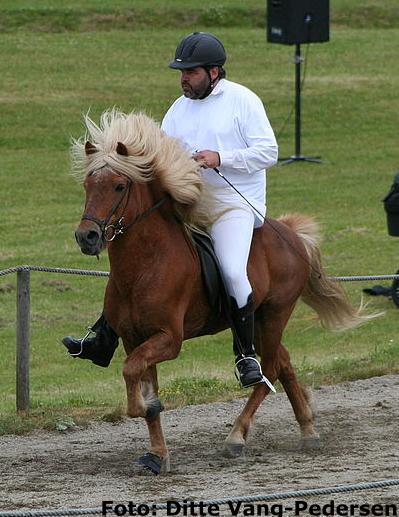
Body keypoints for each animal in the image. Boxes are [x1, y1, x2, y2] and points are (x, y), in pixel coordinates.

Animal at [71, 109, 376, 476]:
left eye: (119, 186)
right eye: (88, 185)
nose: (86, 237)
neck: (146, 266)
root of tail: (289, 233)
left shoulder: (168, 339)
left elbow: (132, 374)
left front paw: (144, 408)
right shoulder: (135, 339)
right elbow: (141, 379)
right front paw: (157, 453)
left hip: (274, 314)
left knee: (270, 369)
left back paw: (237, 436)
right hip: (257, 321)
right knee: (282, 361)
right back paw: (308, 428)